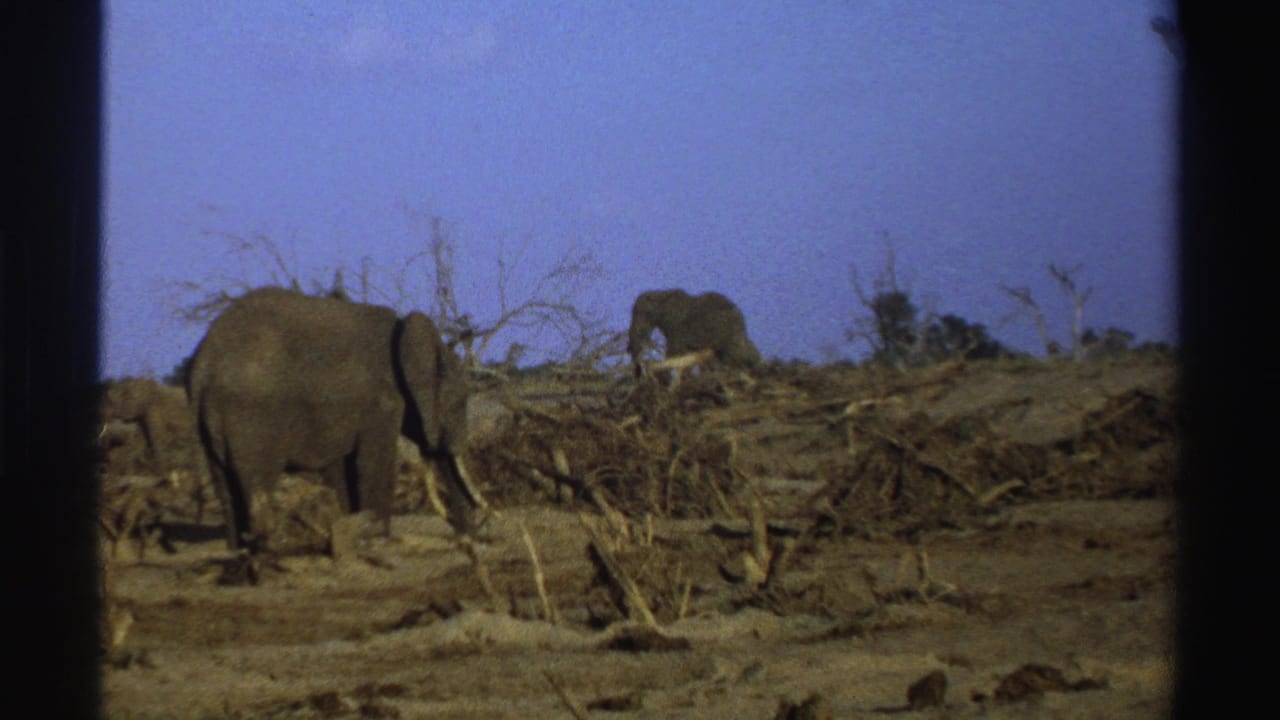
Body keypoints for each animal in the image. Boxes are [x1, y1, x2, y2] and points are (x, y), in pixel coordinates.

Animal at [187, 287, 473, 552]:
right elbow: (374, 463)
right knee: (257, 482)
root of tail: (203, 365)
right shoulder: (382, 403)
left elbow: (343, 470)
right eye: (460, 404)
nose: (463, 539)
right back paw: (266, 547)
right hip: (250, 414)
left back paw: (238, 549)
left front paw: (357, 531)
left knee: (225, 486)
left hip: (208, 421)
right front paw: (379, 537)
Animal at [627, 289, 762, 372]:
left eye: (645, 313)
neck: (661, 293)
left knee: (735, 353)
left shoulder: (677, 328)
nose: (639, 369)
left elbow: (673, 353)